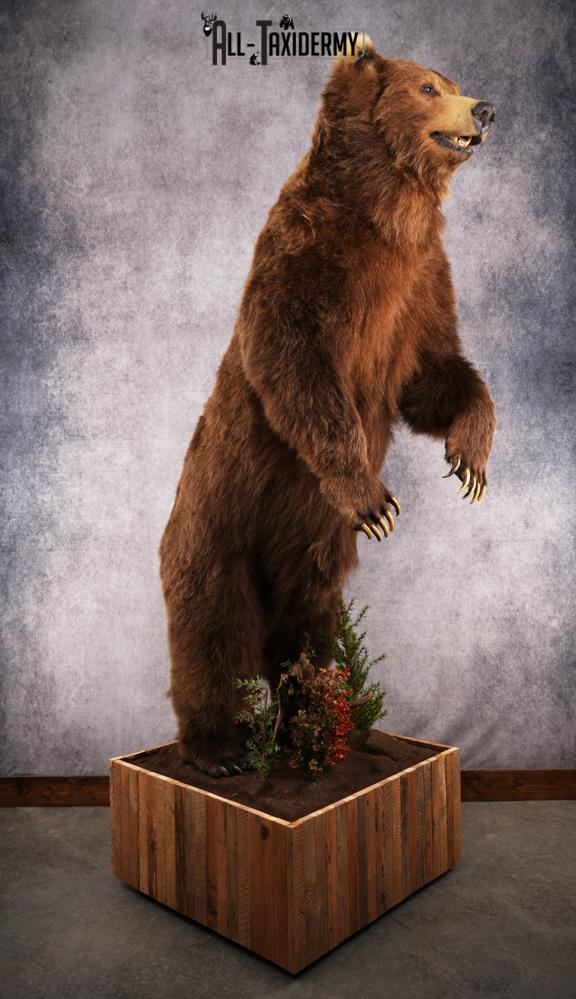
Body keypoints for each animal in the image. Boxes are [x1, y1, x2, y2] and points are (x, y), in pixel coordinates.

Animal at [158, 38, 497, 777]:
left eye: (452, 80)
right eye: (428, 87)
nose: (485, 107)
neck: (388, 211)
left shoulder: (420, 282)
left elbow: (433, 371)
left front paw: (472, 456)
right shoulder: (306, 259)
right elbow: (294, 367)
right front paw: (374, 499)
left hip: (309, 548)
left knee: (306, 623)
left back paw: (311, 720)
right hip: (216, 523)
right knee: (212, 627)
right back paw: (219, 747)